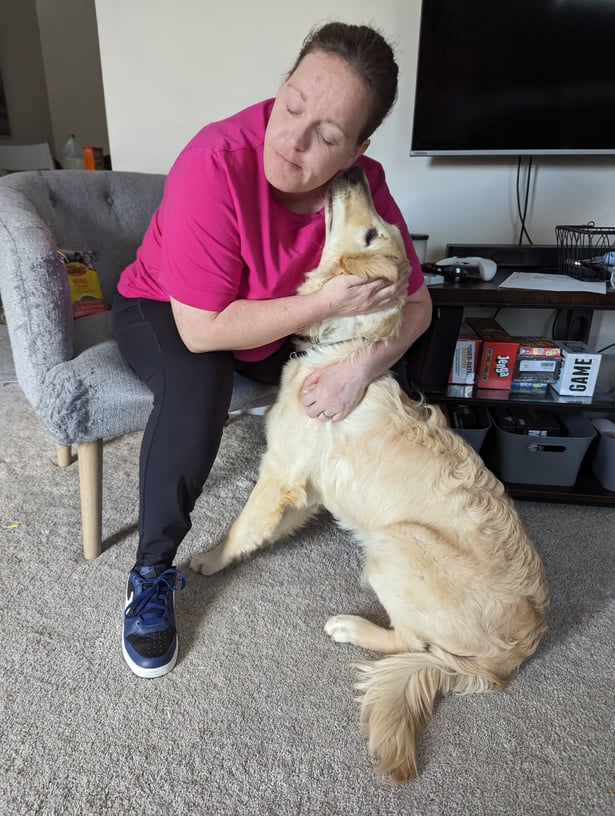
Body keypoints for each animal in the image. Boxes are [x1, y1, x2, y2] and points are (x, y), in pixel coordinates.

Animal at [191, 167, 548, 784]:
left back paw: (349, 628)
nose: (353, 171)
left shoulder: (280, 472)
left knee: (408, 642)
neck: (344, 344)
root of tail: (513, 656)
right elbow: (270, 526)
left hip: (395, 545)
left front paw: (211, 560)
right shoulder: (305, 488)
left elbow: (242, 526)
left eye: (373, 230)